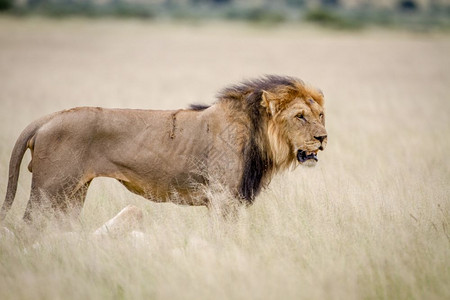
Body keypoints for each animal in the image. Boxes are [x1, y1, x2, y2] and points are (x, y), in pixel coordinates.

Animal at [0, 75, 326, 220]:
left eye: (320, 115)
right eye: (300, 116)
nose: (323, 138)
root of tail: (47, 119)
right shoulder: (222, 198)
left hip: (72, 194)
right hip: (48, 191)